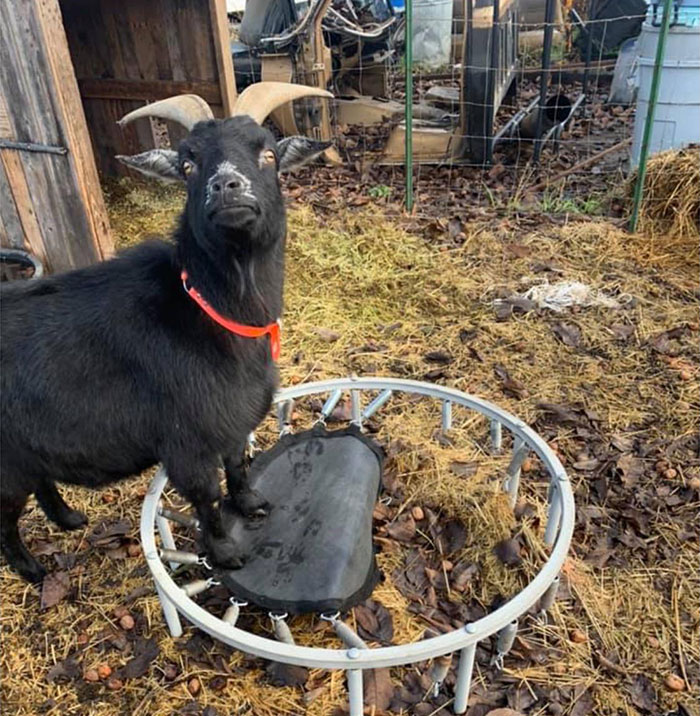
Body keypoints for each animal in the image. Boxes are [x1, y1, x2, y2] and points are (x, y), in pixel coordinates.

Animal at [0, 84, 330, 580]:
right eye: (188, 164)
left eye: (268, 152)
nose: (226, 186)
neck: (209, 311)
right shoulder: (186, 440)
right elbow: (207, 495)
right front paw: (225, 553)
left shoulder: (231, 421)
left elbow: (238, 466)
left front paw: (252, 503)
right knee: (4, 517)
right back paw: (32, 569)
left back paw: (69, 518)